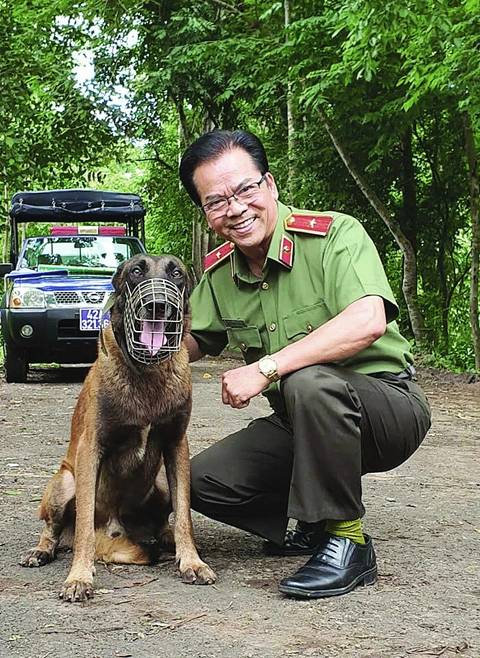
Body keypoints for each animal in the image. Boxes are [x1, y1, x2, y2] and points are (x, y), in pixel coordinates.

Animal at [20, 252, 216, 600]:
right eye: (136, 271)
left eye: (176, 273)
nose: (157, 305)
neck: (148, 371)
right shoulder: (91, 449)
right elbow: (84, 525)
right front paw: (79, 577)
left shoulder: (177, 445)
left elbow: (184, 516)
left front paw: (191, 561)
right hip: (64, 482)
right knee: (54, 530)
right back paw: (42, 550)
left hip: (162, 480)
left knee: (164, 523)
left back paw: (165, 539)